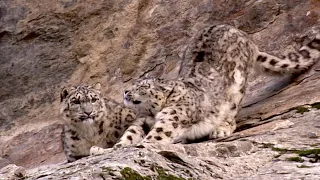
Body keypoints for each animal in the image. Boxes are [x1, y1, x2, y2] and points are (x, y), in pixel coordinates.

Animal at [112, 24, 318, 148]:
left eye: (143, 87)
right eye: (134, 83)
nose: (126, 91)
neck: (152, 113)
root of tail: (243, 35)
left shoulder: (172, 118)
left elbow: (158, 134)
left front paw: (142, 144)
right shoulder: (142, 120)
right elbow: (131, 133)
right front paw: (115, 147)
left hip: (237, 88)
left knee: (231, 113)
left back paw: (221, 129)